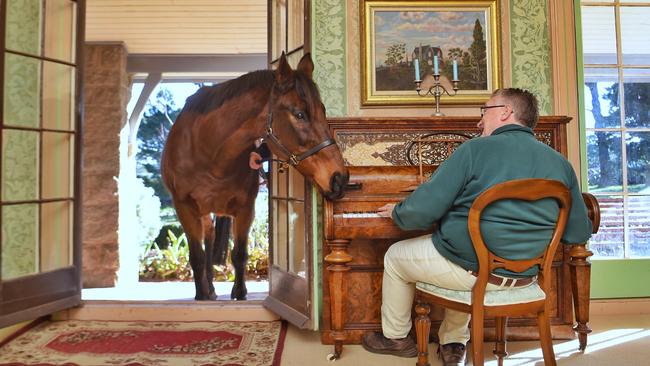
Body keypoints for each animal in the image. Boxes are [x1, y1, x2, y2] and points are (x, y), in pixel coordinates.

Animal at [159, 53, 346, 300]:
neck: (210, 154)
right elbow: (197, 256)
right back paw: (209, 289)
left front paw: (239, 292)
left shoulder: (245, 208)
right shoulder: (184, 208)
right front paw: (201, 294)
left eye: (323, 111)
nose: (340, 178)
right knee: (208, 239)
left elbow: (239, 254)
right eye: (299, 114)